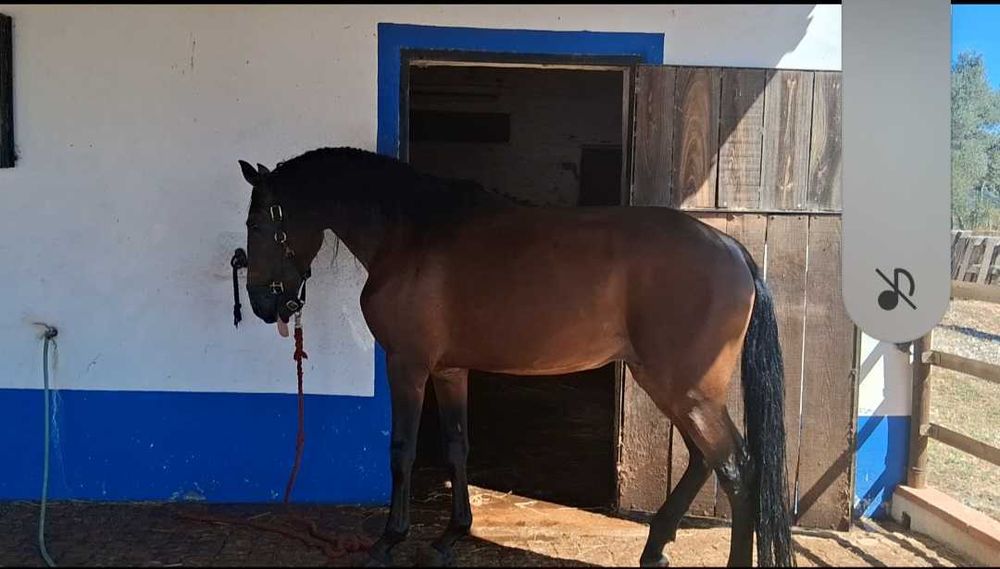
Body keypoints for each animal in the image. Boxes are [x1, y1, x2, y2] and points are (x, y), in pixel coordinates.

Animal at [236, 147, 794, 567]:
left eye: (259, 226)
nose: (264, 305)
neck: (411, 233)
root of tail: (732, 250)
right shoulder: (449, 370)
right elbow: (457, 447)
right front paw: (450, 535)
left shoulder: (408, 366)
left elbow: (402, 450)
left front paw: (388, 541)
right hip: (675, 387)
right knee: (705, 461)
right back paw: (655, 548)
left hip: (686, 390)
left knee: (738, 471)